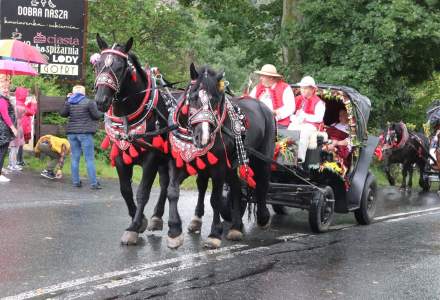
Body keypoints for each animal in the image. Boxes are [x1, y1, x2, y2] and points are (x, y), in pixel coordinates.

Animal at [93, 34, 181, 244]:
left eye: (120, 67)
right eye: (97, 64)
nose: (101, 101)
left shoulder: (151, 157)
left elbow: (142, 192)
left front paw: (133, 227)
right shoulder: (120, 156)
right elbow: (125, 190)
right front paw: (140, 220)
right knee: (165, 184)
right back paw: (157, 217)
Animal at [165, 64, 276, 250]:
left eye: (215, 100)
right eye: (193, 97)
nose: (202, 137)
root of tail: (265, 108)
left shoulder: (218, 168)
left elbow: (215, 199)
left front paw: (214, 234)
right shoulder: (180, 162)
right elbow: (172, 191)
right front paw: (174, 232)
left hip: (262, 158)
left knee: (262, 183)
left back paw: (263, 218)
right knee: (237, 187)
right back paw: (236, 227)